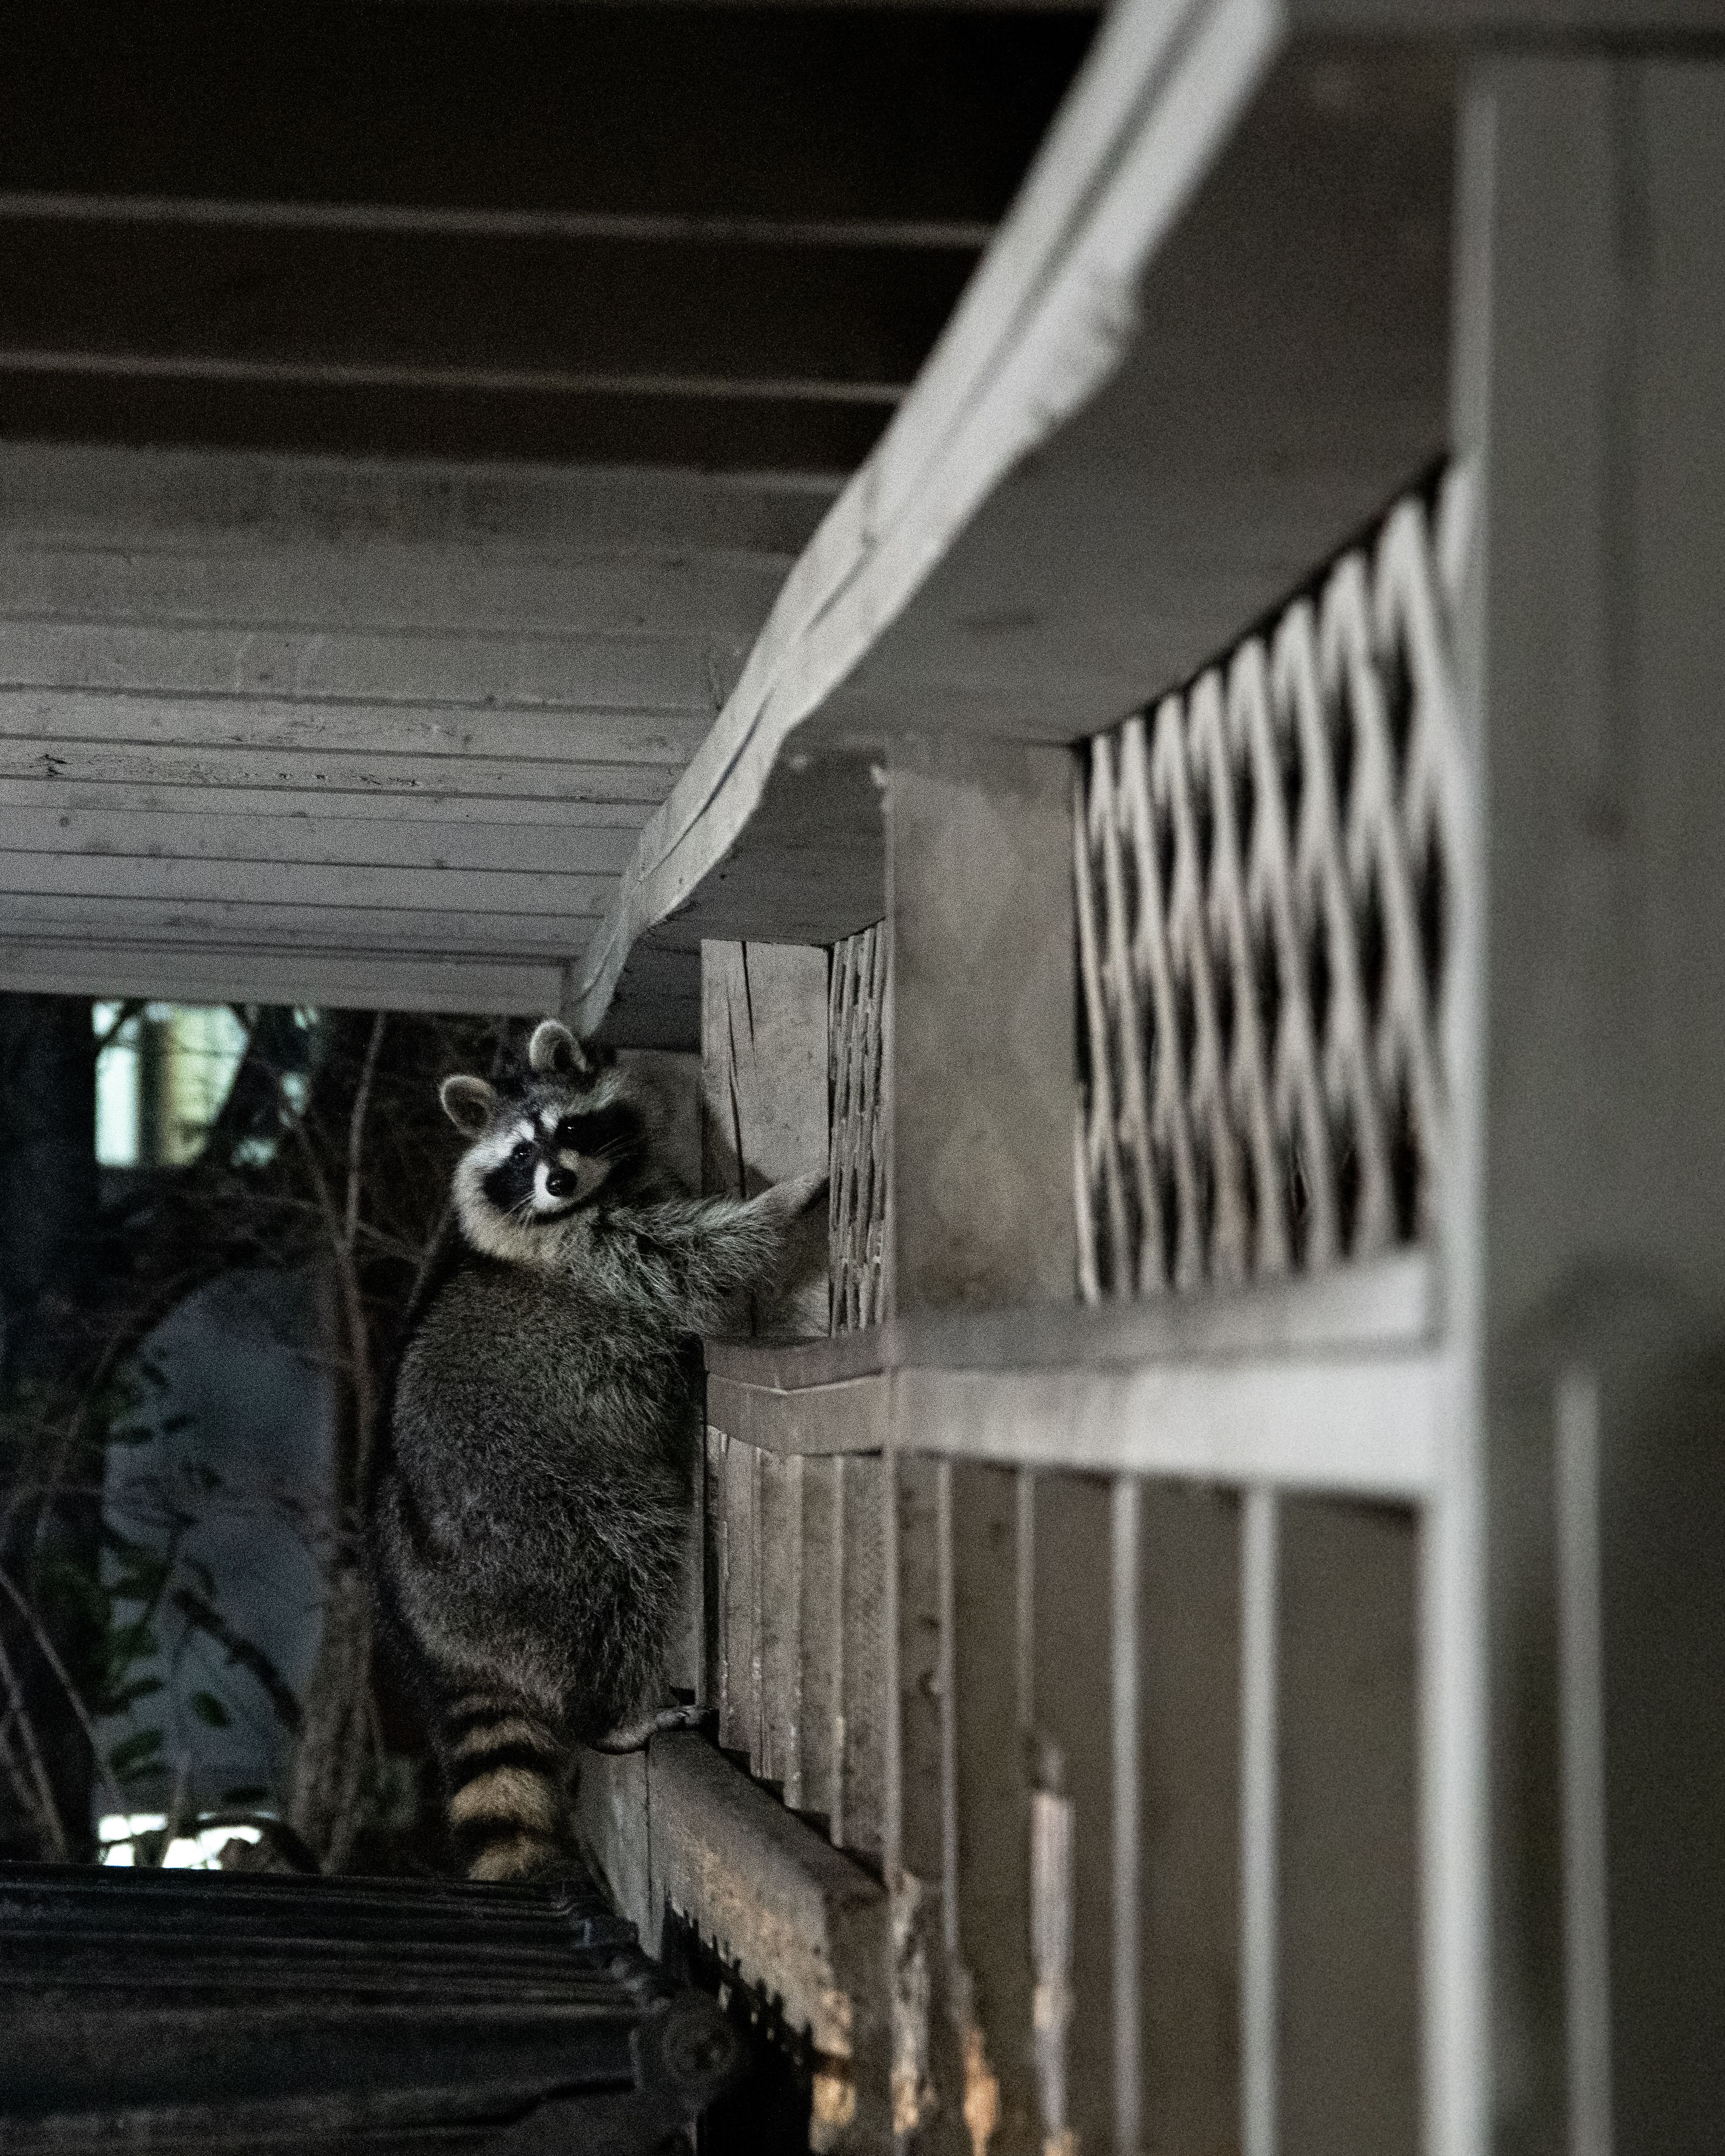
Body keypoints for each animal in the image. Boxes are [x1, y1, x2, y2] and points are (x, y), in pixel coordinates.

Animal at [372, 1018, 823, 1882]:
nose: (556, 1180)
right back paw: (611, 1714)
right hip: (542, 1523)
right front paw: (782, 1202)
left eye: (572, 1131)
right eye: (519, 1154)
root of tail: (439, 1631)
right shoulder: (597, 1253)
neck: (592, 1197)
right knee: (623, 1570)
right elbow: (695, 1259)